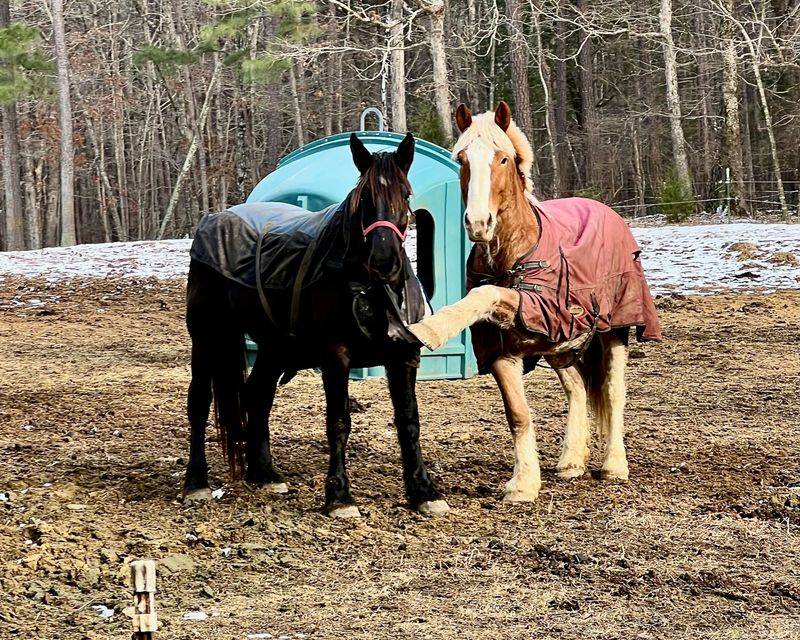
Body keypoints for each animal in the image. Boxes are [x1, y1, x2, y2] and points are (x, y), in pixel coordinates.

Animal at [183, 132, 449, 518]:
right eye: (364, 198)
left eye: (406, 194)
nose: (383, 261)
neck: (370, 288)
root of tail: (212, 222)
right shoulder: (336, 357)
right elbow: (338, 422)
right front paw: (339, 496)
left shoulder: (403, 358)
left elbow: (408, 422)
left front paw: (424, 491)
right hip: (207, 339)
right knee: (200, 403)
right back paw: (196, 482)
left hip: (273, 348)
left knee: (257, 396)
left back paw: (265, 473)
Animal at [409, 102, 661, 502]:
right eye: (462, 159)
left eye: (503, 159)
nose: (478, 223)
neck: (511, 257)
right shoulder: (502, 351)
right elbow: (518, 414)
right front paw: (525, 483)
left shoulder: (537, 307)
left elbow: (485, 294)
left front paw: (431, 328)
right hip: (561, 346)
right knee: (576, 388)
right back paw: (571, 461)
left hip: (615, 329)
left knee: (613, 392)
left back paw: (613, 466)